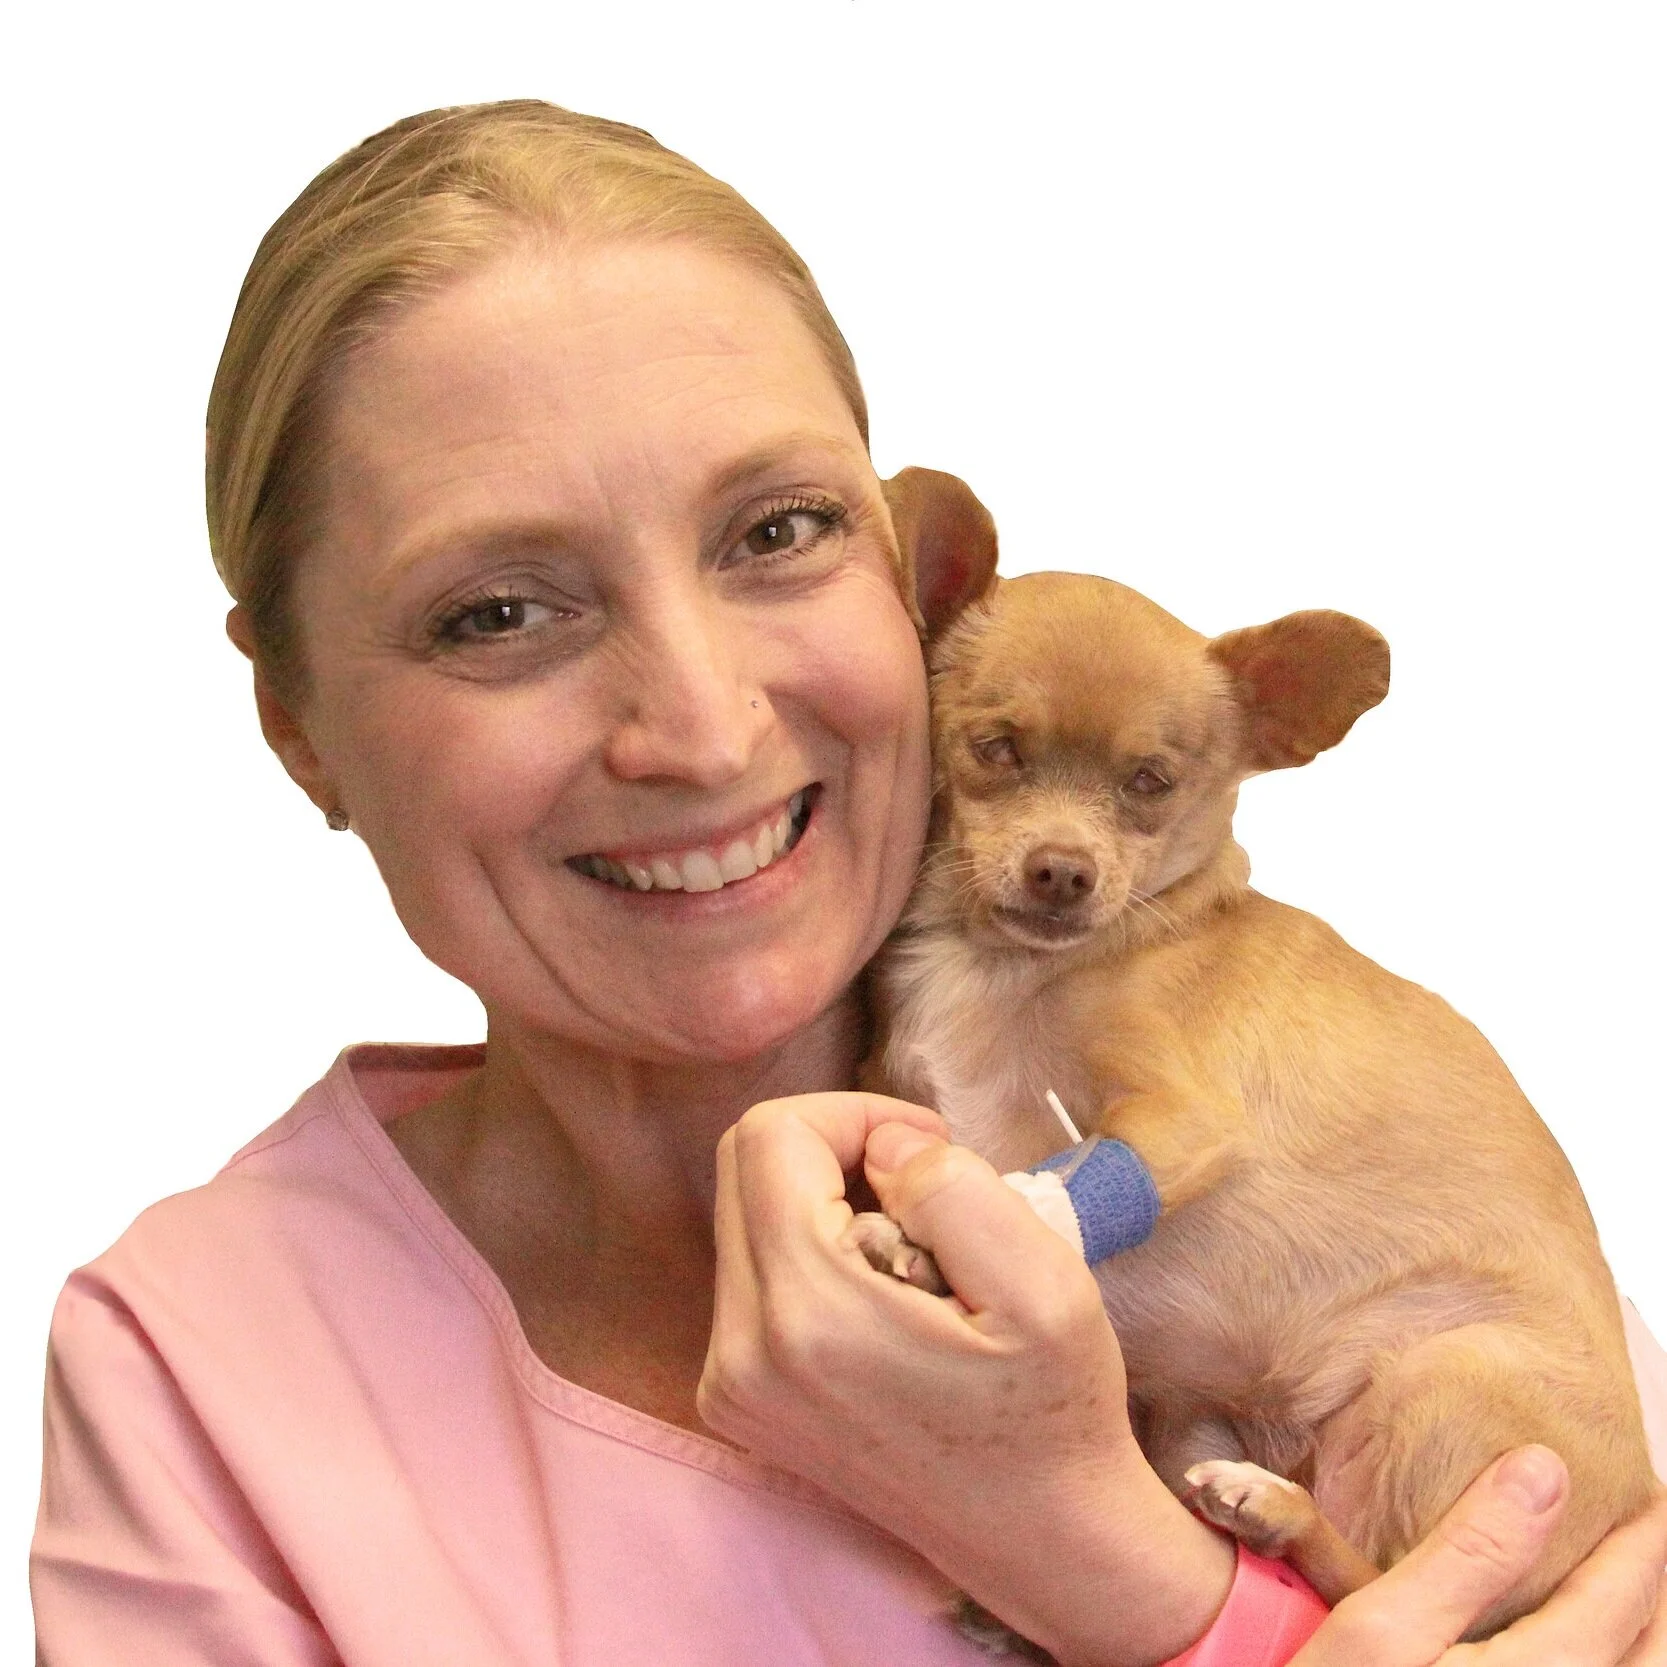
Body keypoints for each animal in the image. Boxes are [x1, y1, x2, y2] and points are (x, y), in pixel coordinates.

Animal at [862, 467, 1656, 1634]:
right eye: (993, 748)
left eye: (1149, 782)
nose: (1061, 871)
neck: (997, 966)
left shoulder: (1182, 1118)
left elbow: (1042, 1183)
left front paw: (950, 1235)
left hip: (1439, 1381)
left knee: (1386, 1580)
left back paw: (1272, 1509)